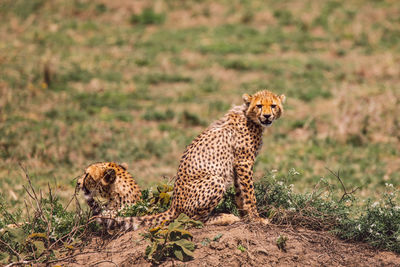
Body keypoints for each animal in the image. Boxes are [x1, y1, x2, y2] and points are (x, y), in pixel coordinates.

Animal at [101, 91, 286, 231]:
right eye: (259, 105)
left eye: (273, 105)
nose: (267, 116)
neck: (249, 116)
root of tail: (174, 205)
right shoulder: (244, 162)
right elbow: (250, 194)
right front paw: (257, 218)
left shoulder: (237, 165)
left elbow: (241, 193)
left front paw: (245, 216)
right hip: (215, 180)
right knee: (192, 219)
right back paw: (223, 217)